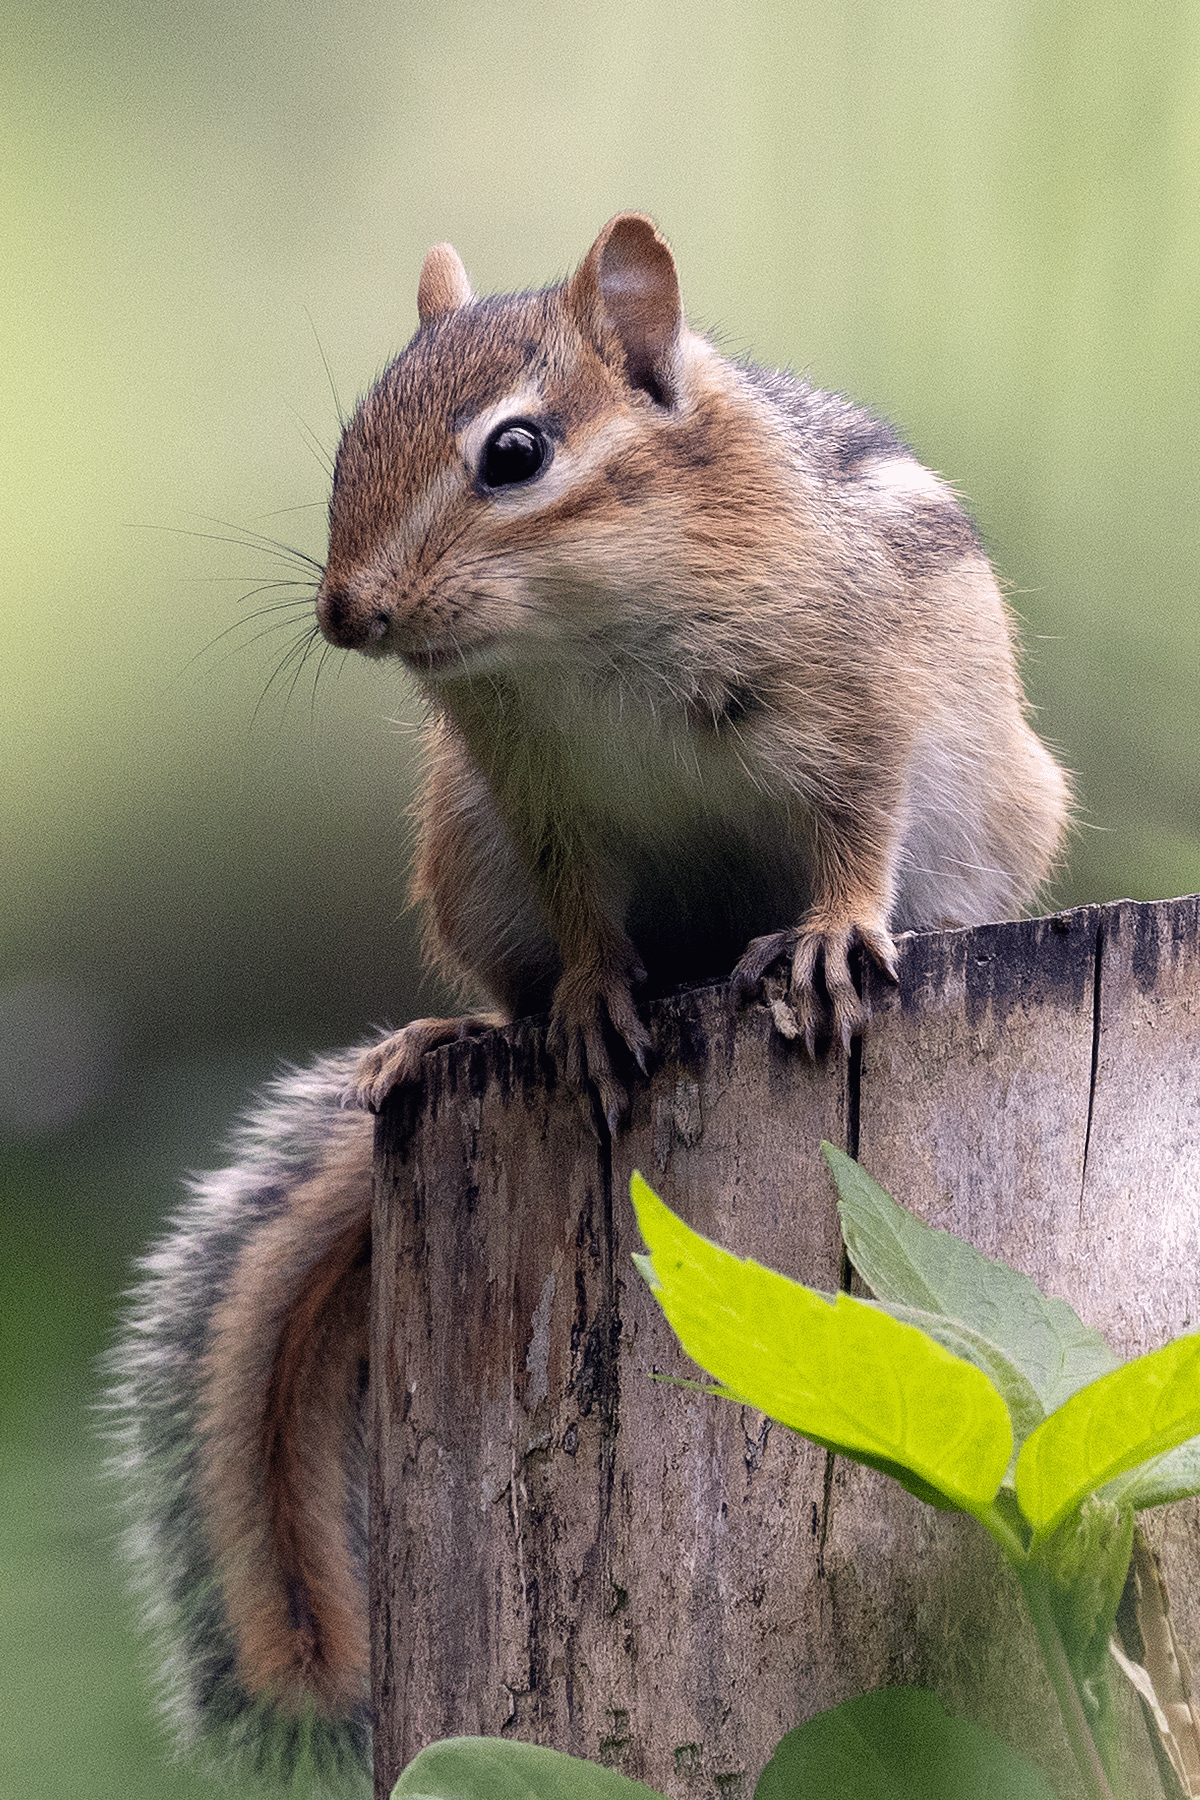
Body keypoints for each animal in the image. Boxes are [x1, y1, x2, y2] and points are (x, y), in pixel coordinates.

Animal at [108, 213, 1070, 1789]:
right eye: (352, 438)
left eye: (514, 453)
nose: (347, 611)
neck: (584, 640)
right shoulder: (540, 809)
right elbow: (583, 928)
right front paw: (587, 1009)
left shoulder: (866, 708)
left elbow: (856, 835)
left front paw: (828, 937)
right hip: (463, 851)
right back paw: (453, 1035)